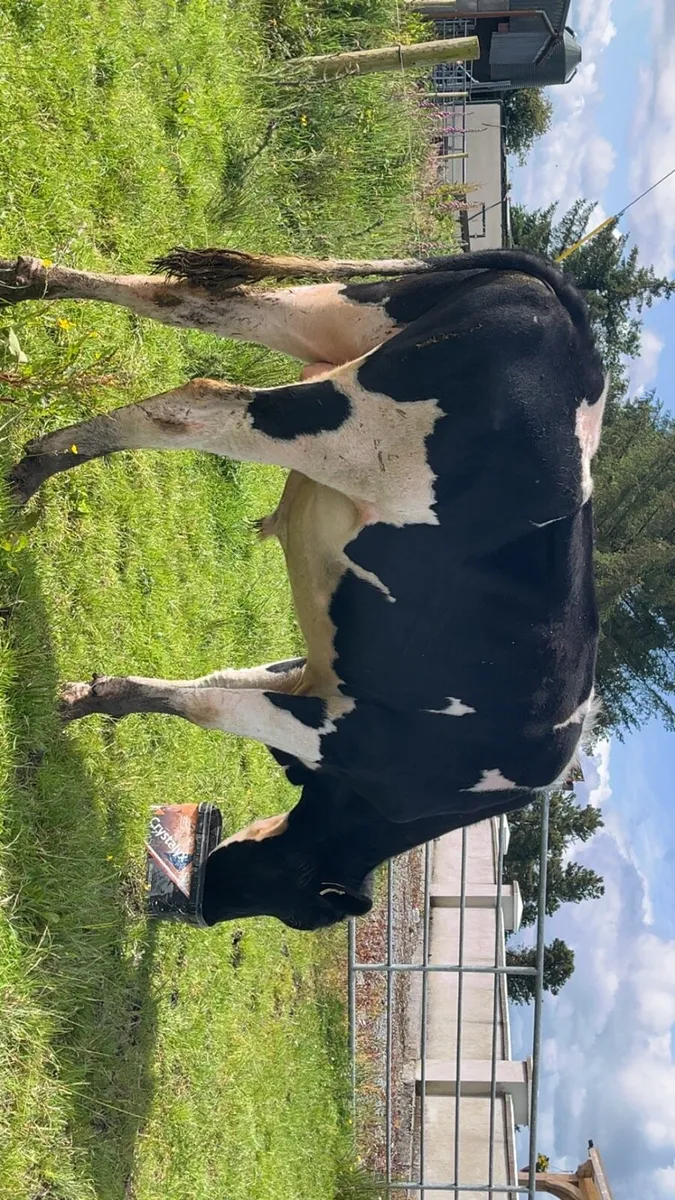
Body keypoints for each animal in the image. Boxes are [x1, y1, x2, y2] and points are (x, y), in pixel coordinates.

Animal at [2, 246, 606, 931]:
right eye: (306, 910)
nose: (205, 911)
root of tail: (578, 333)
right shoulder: (343, 735)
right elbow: (210, 707)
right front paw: (81, 701)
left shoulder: (313, 674)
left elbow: (214, 682)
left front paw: (88, 693)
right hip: (357, 433)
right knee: (199, 405)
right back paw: (35, 466)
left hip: (345, 316)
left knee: (192, 300)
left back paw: (24, 282)